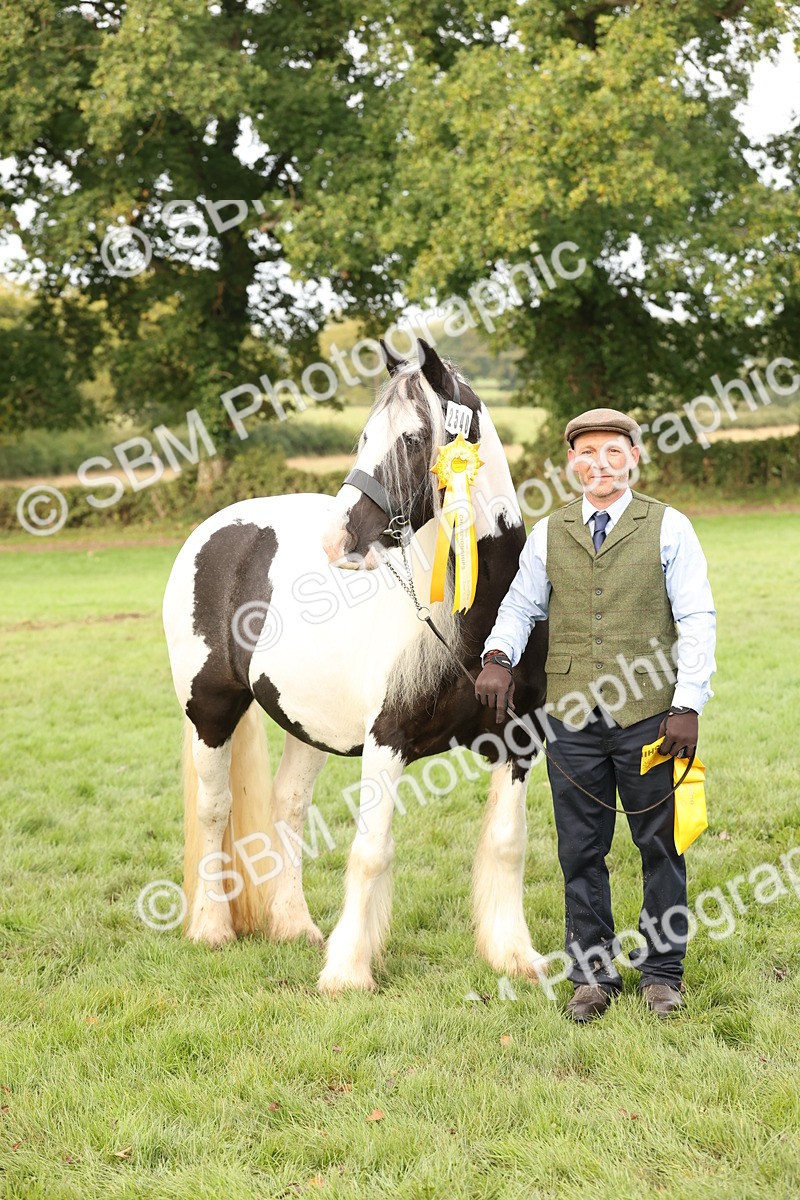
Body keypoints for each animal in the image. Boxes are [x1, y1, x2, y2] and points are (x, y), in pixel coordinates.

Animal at [162, 337, 549, 994]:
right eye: (366, 436)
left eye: (415, 439)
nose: (336, 540)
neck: (476, 618)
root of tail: (218, 529)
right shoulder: (386, 740)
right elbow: (371, 851)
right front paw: (348, 971)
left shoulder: (517, 743)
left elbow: (507, 844)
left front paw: (514, 956)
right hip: (209, 709)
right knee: (215, 810)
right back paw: (212, 928)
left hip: (303, 722)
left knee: (288, 807)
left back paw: (293, 926)